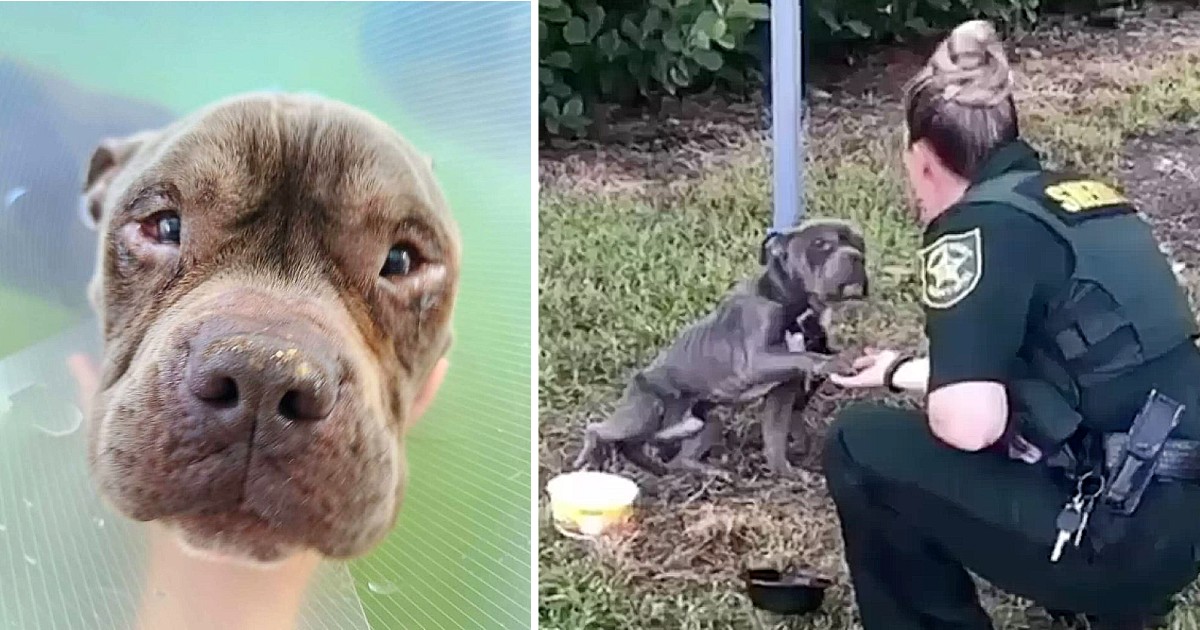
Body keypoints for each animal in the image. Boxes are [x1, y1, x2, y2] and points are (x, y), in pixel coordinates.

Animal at [571, 217, 864, 477]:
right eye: (820, 244)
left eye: (858, 242)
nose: (857, 257)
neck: (795, 306)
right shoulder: (756, 361)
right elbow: (806, 356)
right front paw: (834, 362)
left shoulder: (782, 392)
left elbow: (775, 439)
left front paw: (788, 471)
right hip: (645, 412)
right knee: (599, 429)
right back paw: (590, 455)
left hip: (705, 423)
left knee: (671, 458)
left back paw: (696, 471)